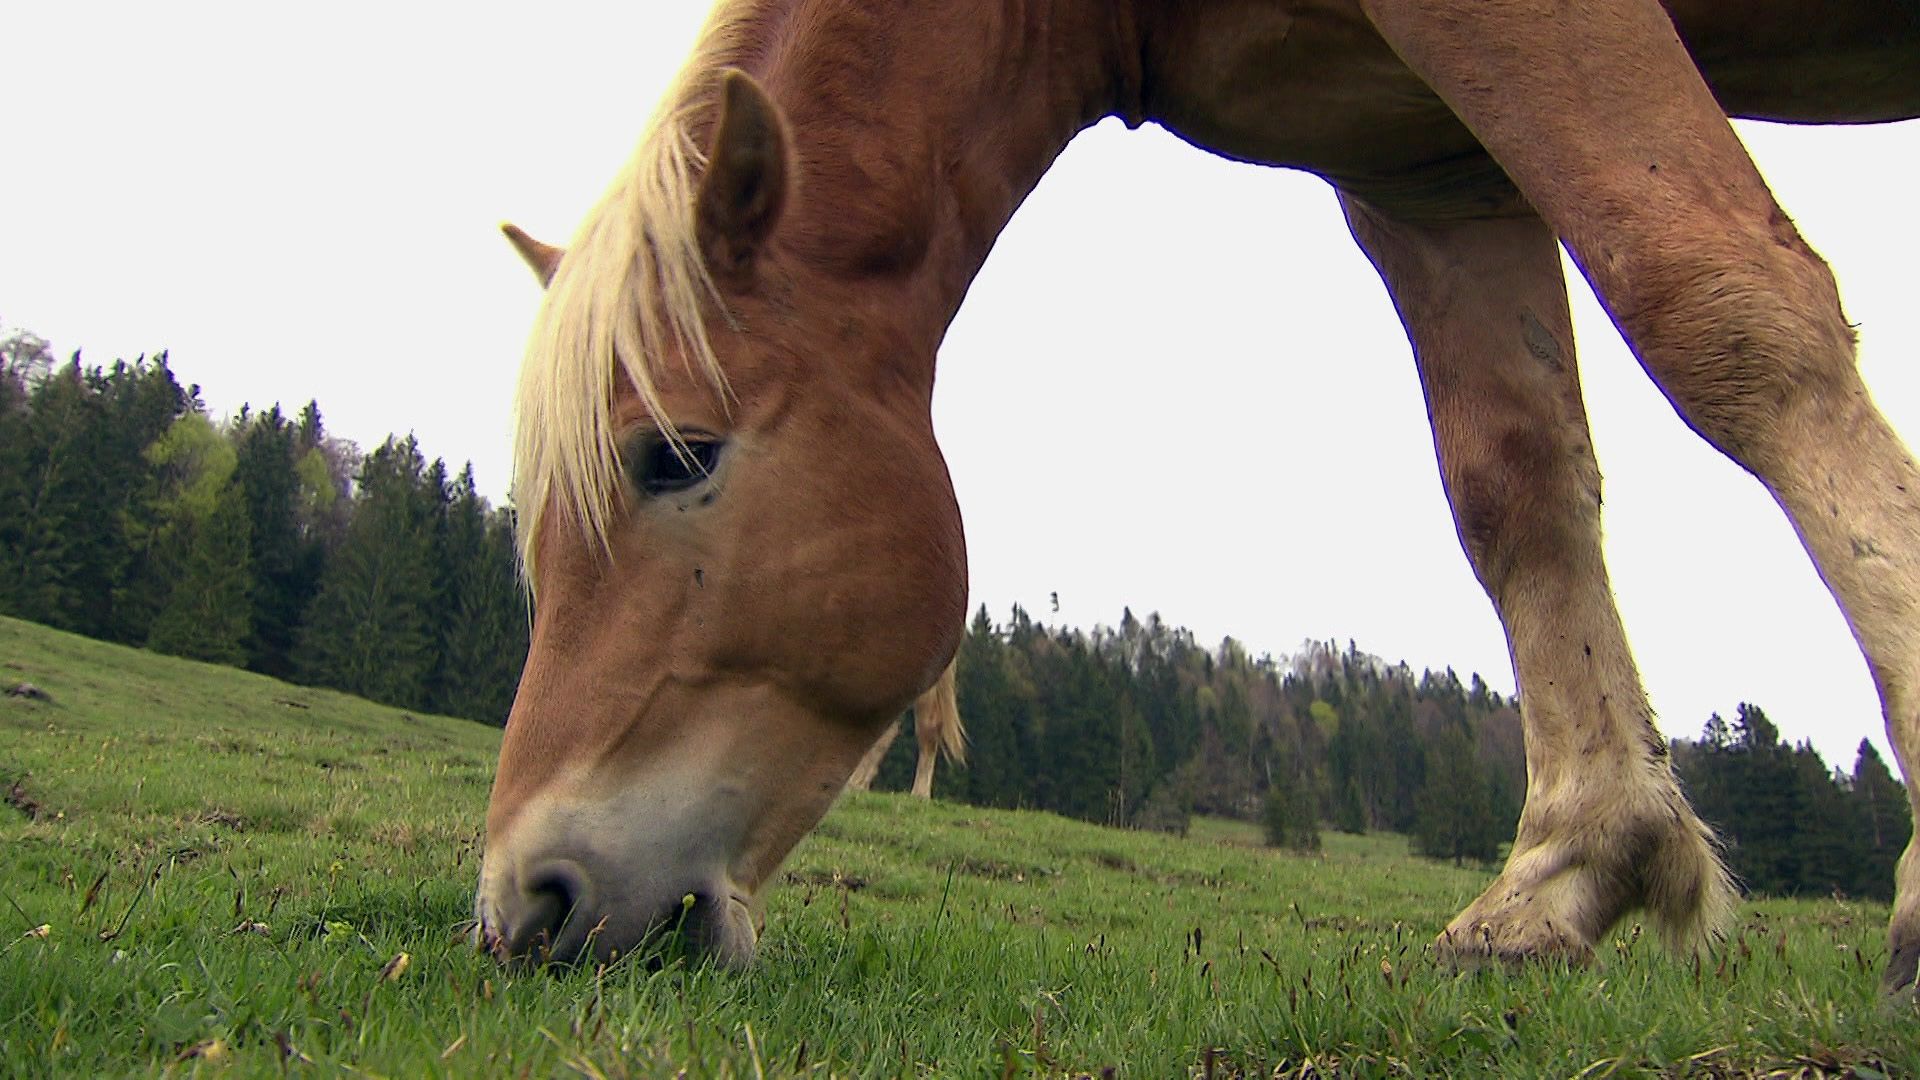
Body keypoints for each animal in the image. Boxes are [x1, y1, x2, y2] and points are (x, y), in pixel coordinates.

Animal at [476, 0, 1920, 991]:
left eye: (674, 456)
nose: (521, 905)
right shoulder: (1417, 157)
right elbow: (1513, 486)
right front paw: (1570, 869)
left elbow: (1725, 309)